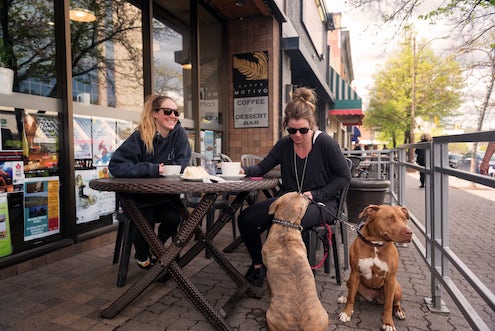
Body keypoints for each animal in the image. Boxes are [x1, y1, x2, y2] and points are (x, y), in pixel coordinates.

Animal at [262, 192, 332, 331]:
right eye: (300, 195)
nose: (307, 194)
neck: (286, 226)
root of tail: (301, 326)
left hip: (269, 315)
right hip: (324, 315)